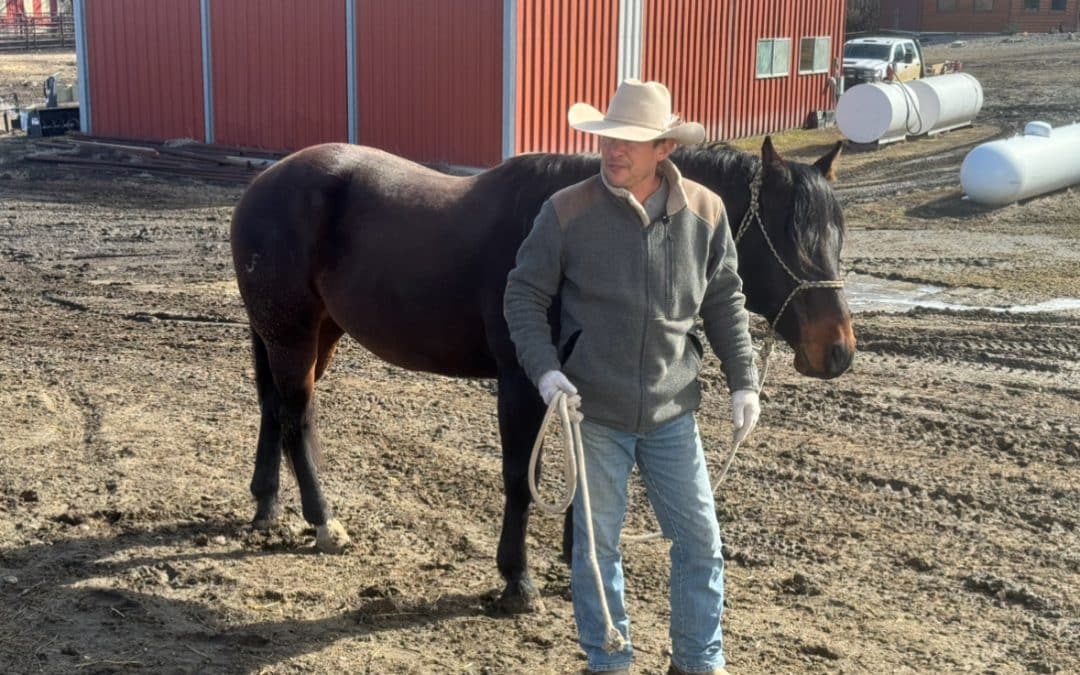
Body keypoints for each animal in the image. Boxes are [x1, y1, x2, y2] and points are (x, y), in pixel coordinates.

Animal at [232, 137, 855, 609]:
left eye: (838, 233)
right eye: (788, 234)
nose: (839, 352)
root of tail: (262, 185)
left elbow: (586, 472)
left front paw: (580, 559)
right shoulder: (521, 382)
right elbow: (518, 477)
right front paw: (517, 580)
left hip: (310, 334)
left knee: (272, 409)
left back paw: (267, 505)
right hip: (292, 335)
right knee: (296, 420)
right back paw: (323, 522)